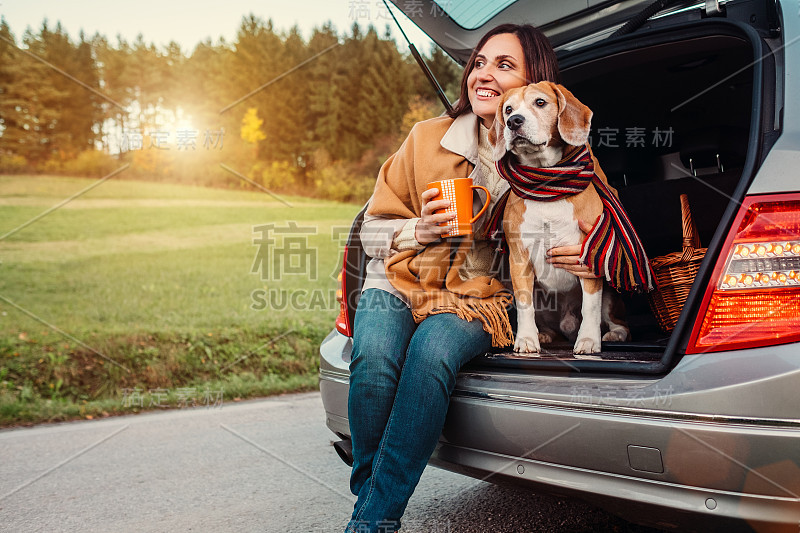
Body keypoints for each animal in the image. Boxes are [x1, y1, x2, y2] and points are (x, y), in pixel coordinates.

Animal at [488, 83, 632, 356]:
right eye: (508, 109)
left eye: (540, 102)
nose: (513, 121)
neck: (546, 183)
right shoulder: (519, 260)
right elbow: (525, 305)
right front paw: (527, 339)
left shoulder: (588, 257)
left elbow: (590, 307)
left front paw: (589, 340)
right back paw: (543, 334)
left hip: (609, 294)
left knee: (617, 321)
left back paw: (614, 334)